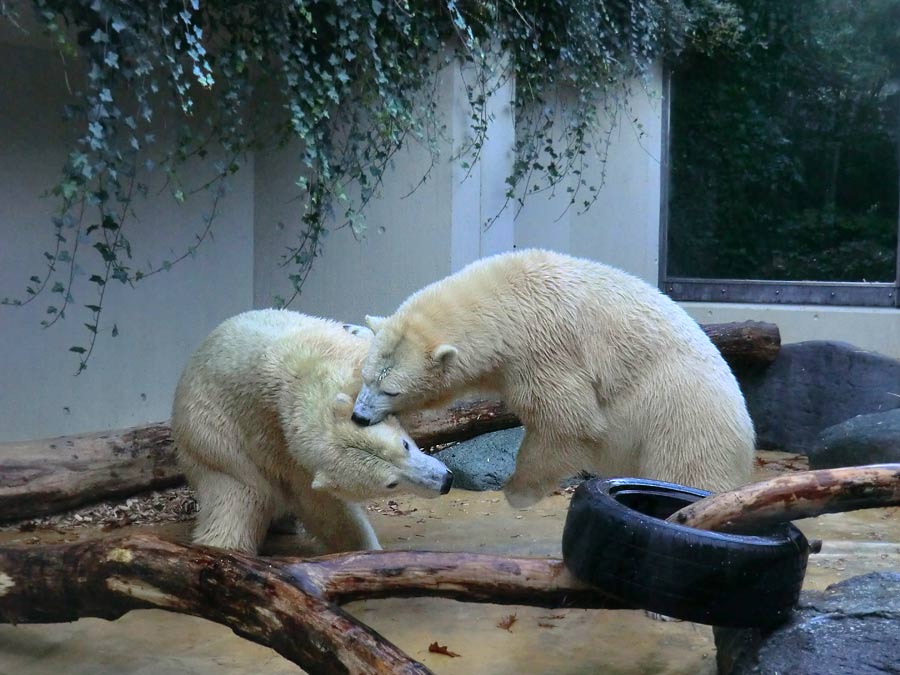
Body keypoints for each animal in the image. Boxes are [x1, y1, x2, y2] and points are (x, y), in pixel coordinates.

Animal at [172, 312, 454, 556]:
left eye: (405, 445)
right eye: (391, 484)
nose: (445, 481)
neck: (302, 381)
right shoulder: (282, 448)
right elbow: (325, 508)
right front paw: (368, 551)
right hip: (215, 440)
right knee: (237, 498)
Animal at [352, 248, 752, 508]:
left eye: (391, 389)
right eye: (366, 377)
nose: (359, 416)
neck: (507, 300)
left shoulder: (544, 347)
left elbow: (569, 421)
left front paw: (517, 491)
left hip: (682, 414)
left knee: (687, 472)